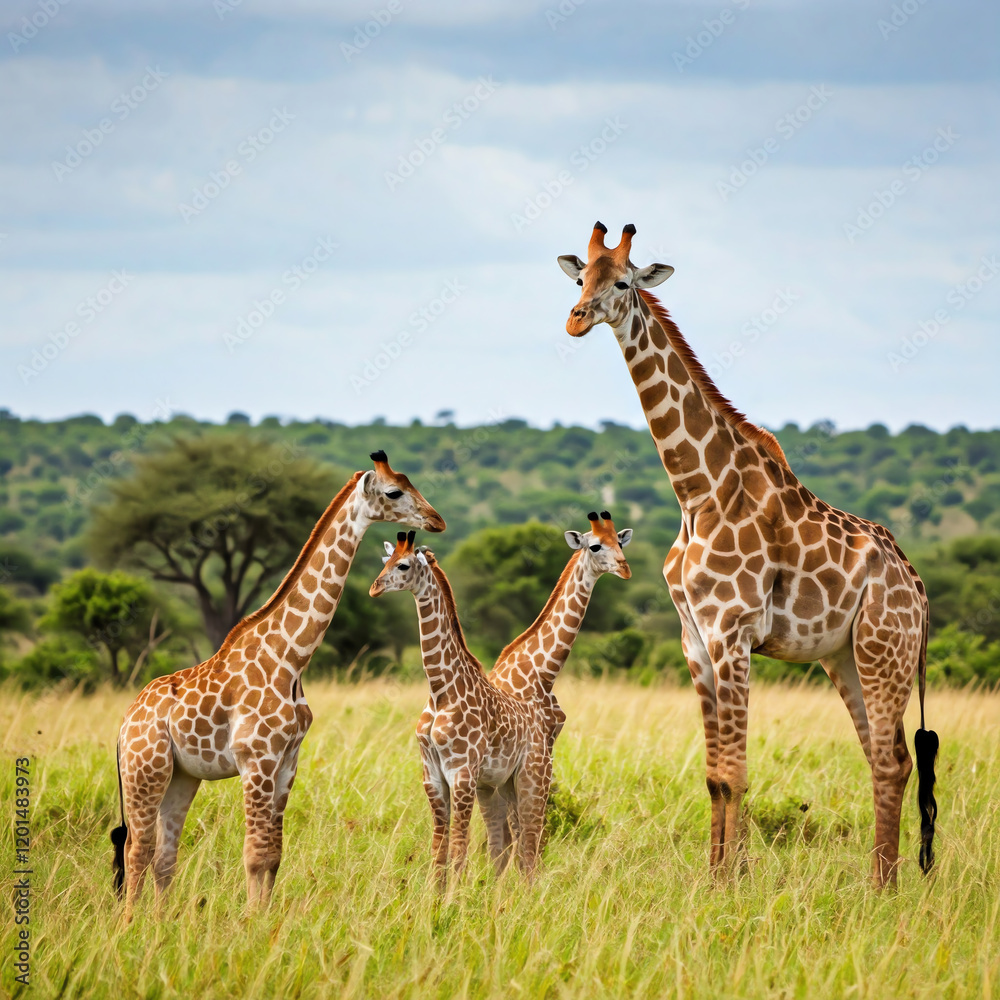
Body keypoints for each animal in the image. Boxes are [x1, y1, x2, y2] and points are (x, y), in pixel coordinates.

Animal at [111, 451, 444, 916]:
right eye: (394, 491)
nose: (436, 519)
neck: (291, 656)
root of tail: (125, 723)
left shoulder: (288, 761)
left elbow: (273, 854)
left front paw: (264, 921)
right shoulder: (256, 758)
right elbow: (254, 854)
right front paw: (250, 925)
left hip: (182, 777)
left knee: (164, 856)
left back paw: (159, 925)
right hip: (145, 770)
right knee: (136, 851)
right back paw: (130, 927)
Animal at [369, 531, 551, 885]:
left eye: (403, 565)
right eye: (383, 561)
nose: (374, 588)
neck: (440, 692)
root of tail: (540, 723)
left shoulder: (462, 775)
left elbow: (458, 850)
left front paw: (454, 897)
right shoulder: (432, 777)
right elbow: (438, 851)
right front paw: (434, 897)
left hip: (533, 778)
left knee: (531, 842)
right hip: (503, 784)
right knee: (518, 843)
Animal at [555, 222, 939, 887]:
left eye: (623, 282)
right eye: (580, 278)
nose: (577, 320)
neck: (697, 491)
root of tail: (916, 589)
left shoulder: (732, 633)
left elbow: (735, 774)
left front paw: (730, 884)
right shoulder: (694, 640)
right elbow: (714, 776)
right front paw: (712, 876)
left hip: (882, 649)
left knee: (893, 760)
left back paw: (882, 889)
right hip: (843, 657)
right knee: (883, 754)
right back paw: (881, 881)